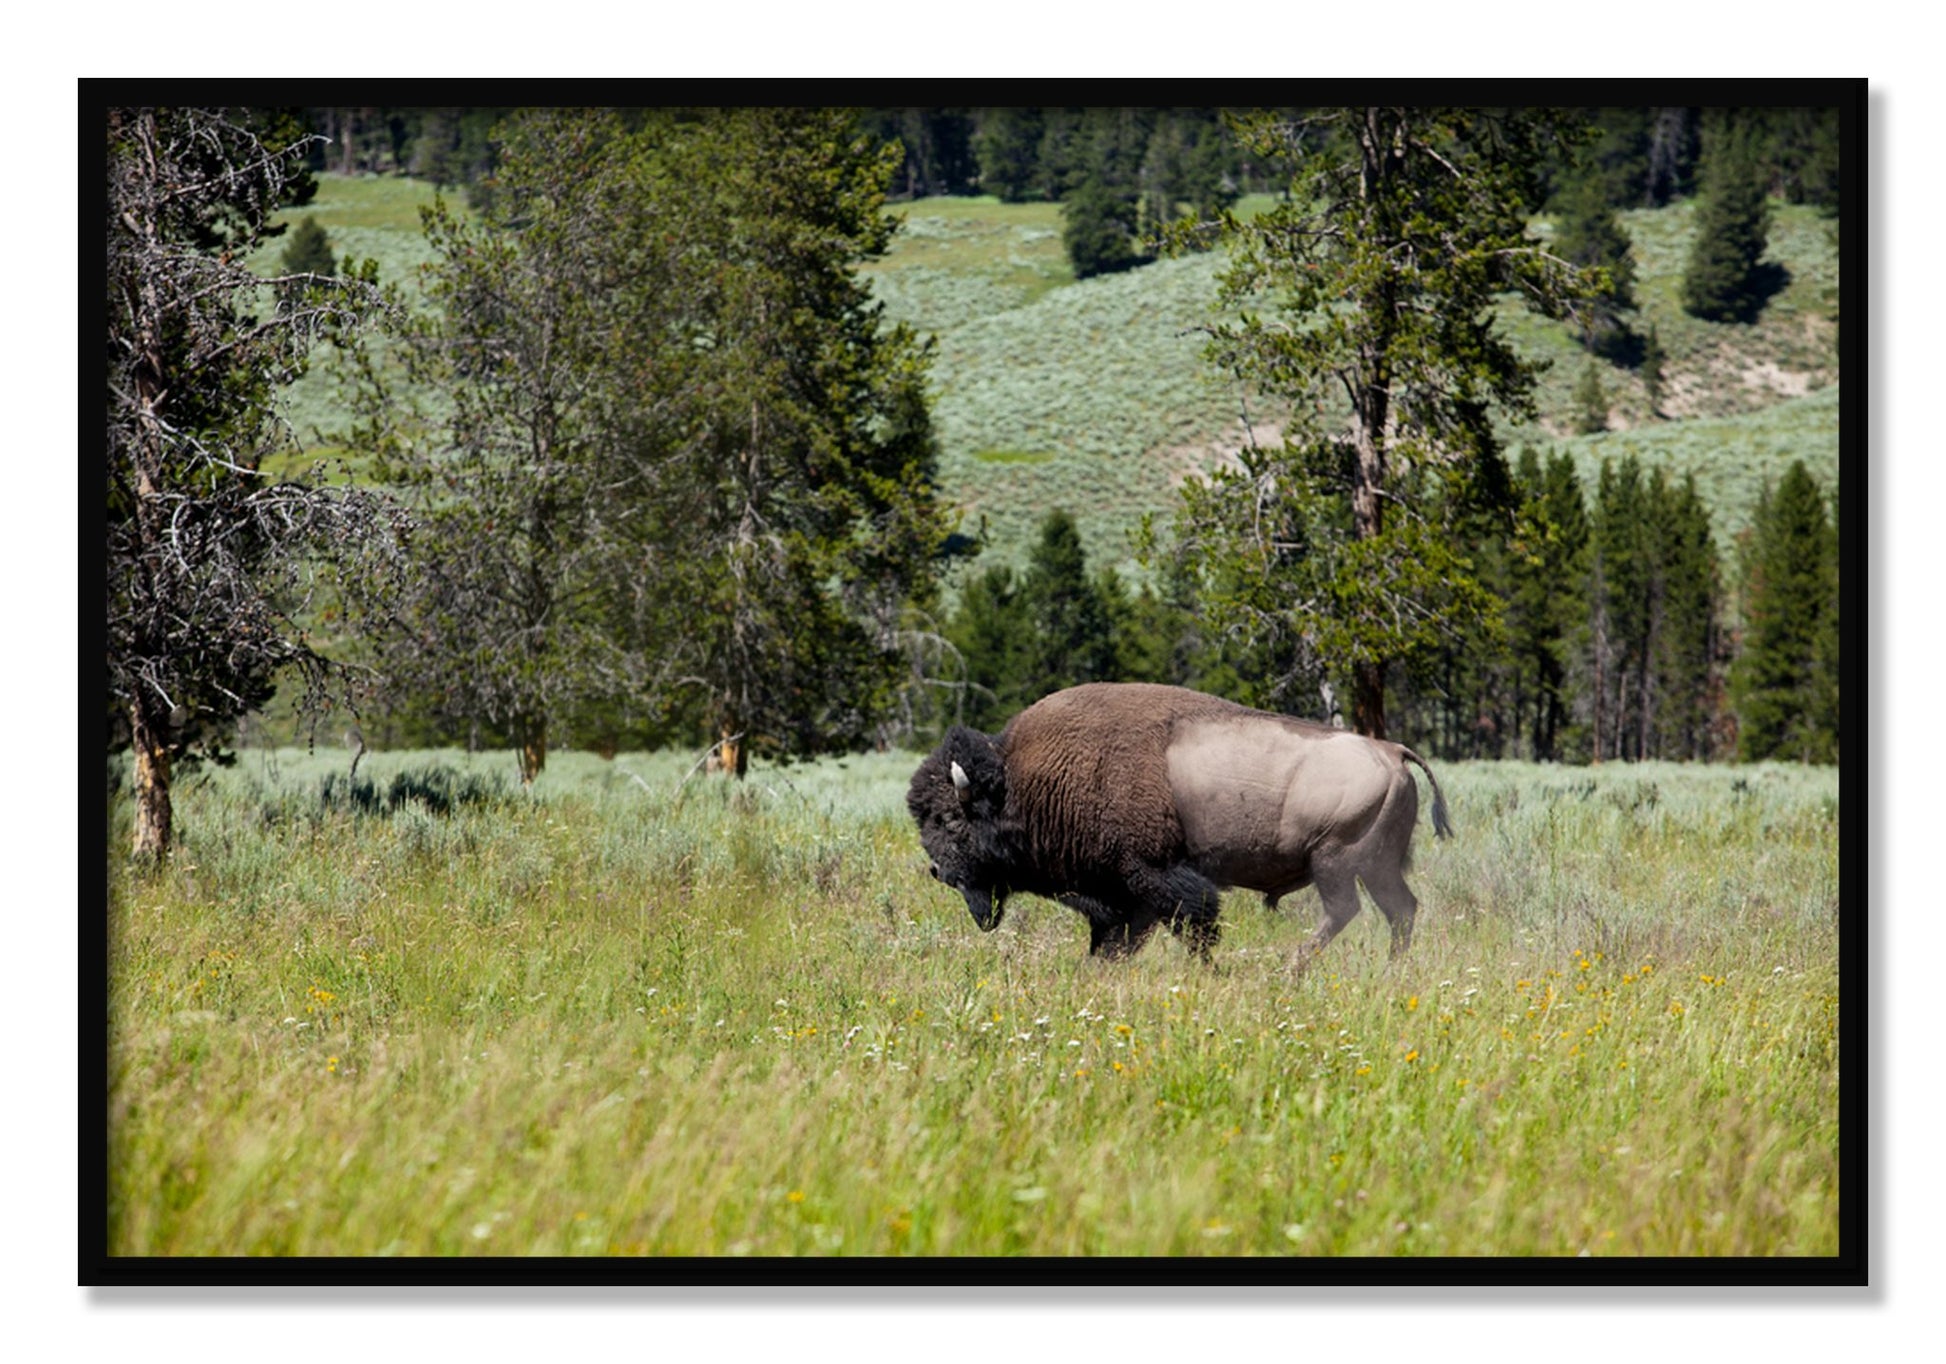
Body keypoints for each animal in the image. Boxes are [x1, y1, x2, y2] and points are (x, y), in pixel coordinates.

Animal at [907, 682, 1450, 967]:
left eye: (950, 820)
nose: (938, 871)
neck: (1022, 780)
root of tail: (1391, 751)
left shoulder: (1154, 877)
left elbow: (1194, 925)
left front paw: (1209, 970)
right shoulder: (1122, 896)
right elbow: (1116, 941)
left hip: (1335, 861)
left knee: (1345, 911)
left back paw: (1290, 969)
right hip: (1376, 867)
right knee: (1400, 910)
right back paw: (1389, 969)